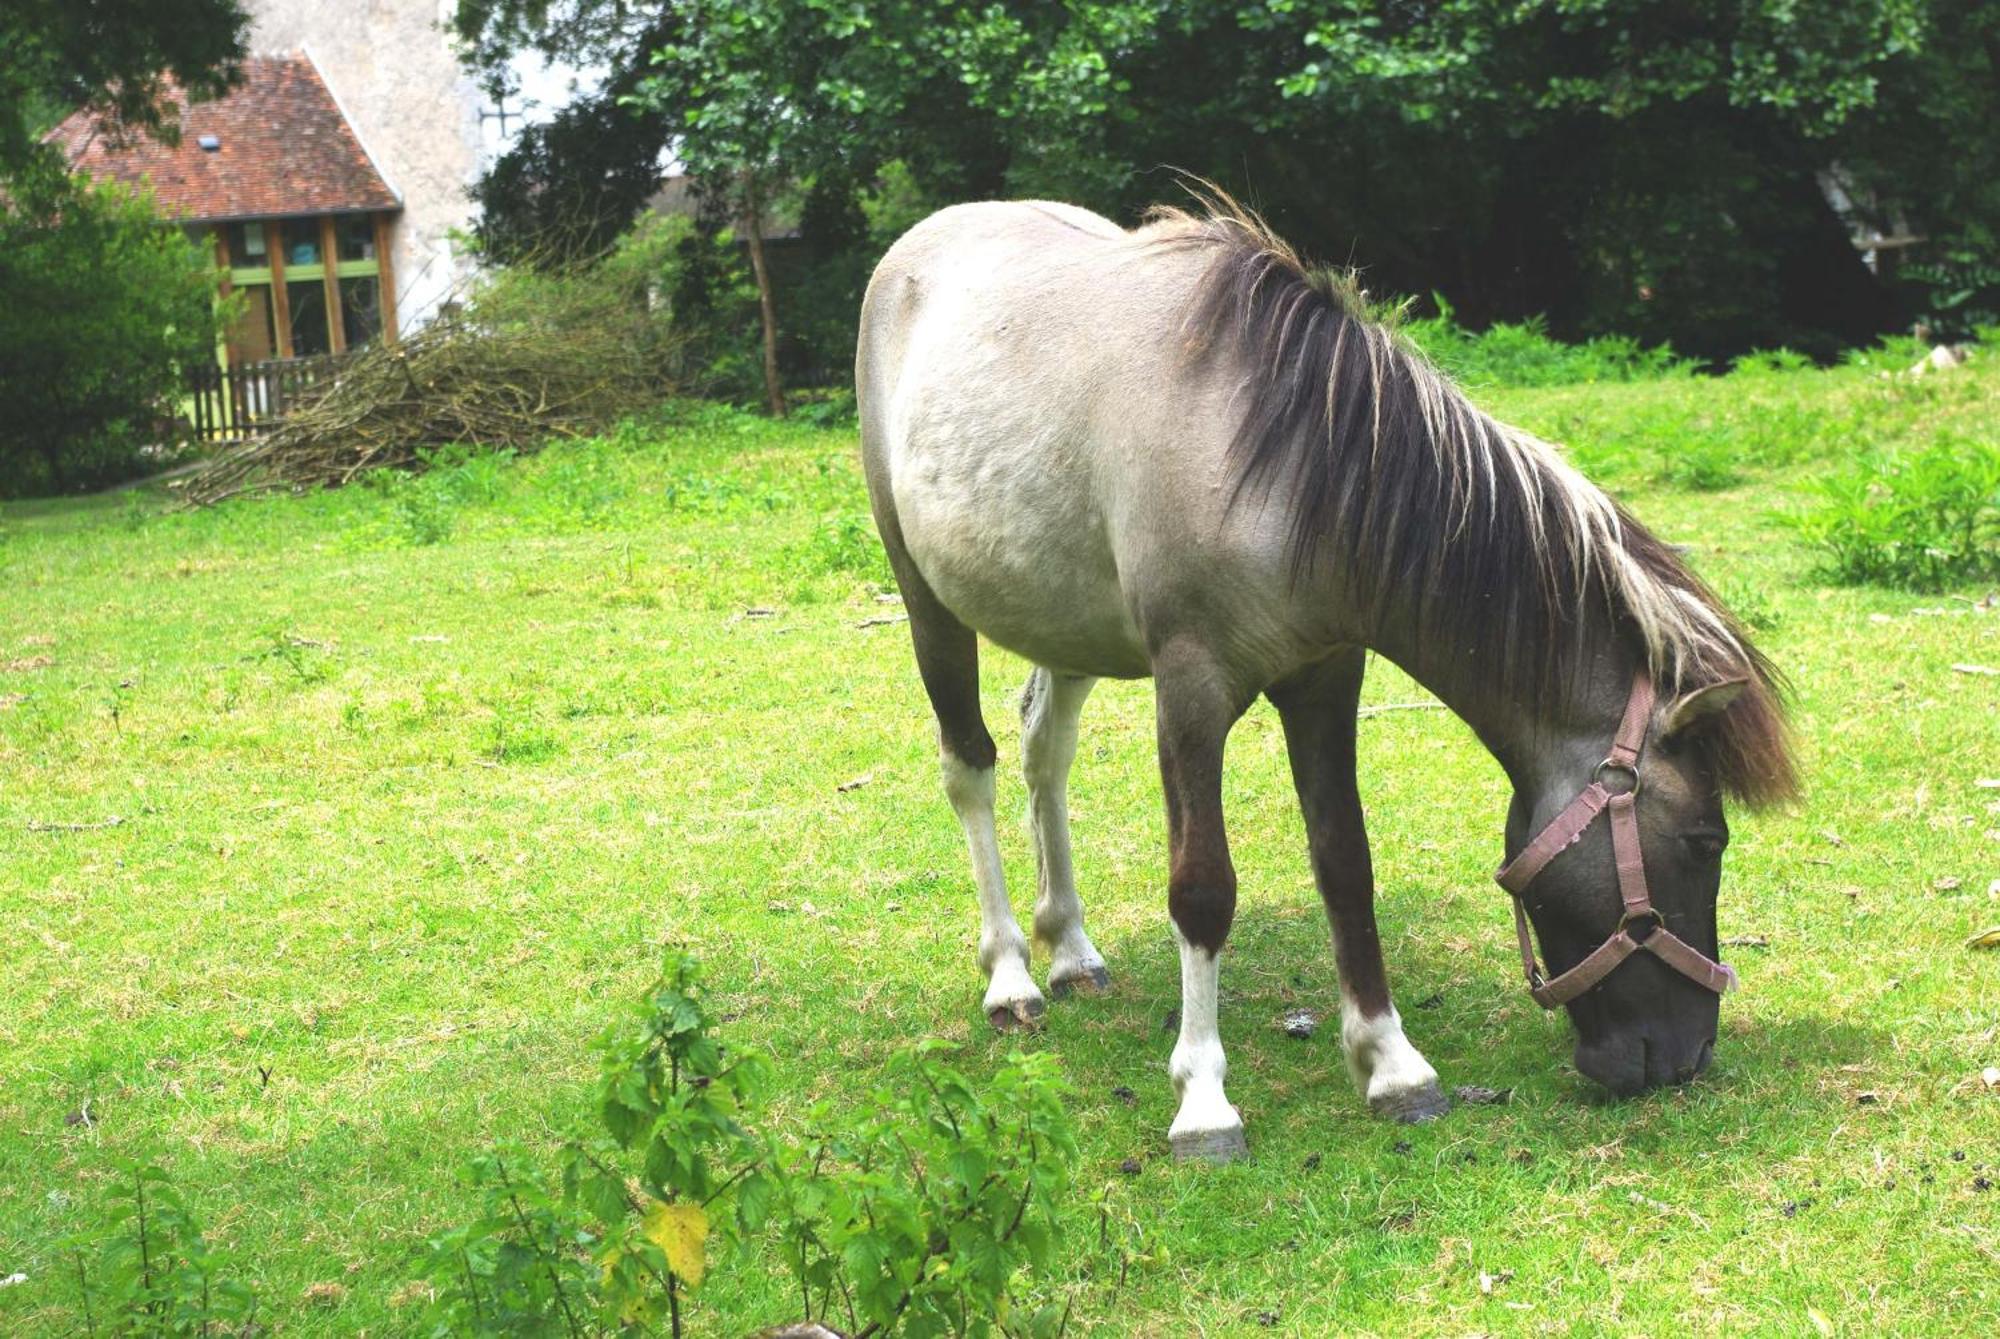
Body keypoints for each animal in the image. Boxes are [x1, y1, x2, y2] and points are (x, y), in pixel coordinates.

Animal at [856, 193, 1800, 1159]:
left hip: (1064, 624)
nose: (1683, 1057)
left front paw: (1393, 1065)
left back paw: (1072, 948)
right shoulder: (1190, 691)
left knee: (1045, 756)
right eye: (1706, 841)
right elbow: (1202, 889)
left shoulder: (1325, 677)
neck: (1285, 464)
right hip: (925, 600)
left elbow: (1346, 861)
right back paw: (1011, 972)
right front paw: (1205, 1101)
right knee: (971, 768)